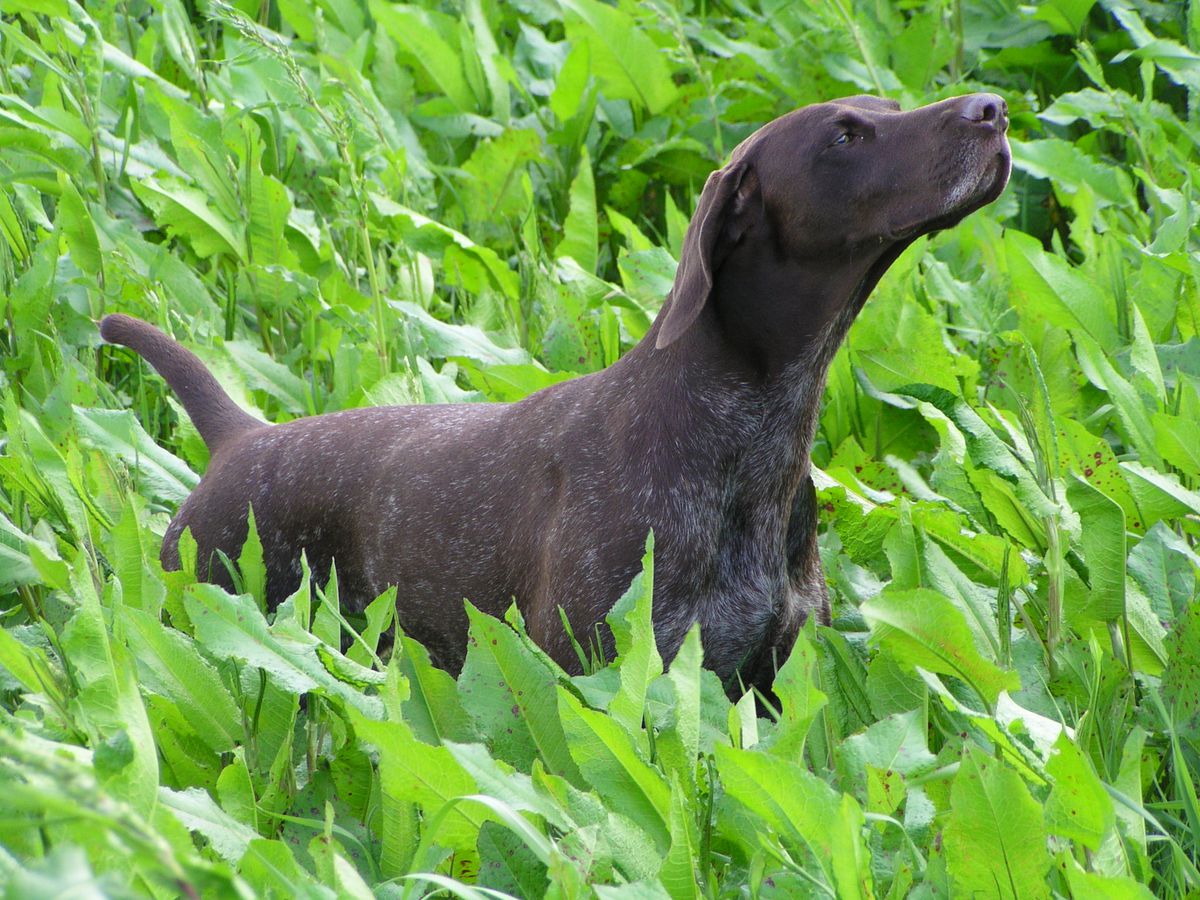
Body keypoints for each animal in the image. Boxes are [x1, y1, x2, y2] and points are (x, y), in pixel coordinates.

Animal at [100, 93, 1012, 691]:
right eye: (847, 134)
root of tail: (240, 437)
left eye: (888, 106)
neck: (748, 435)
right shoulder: (606, 670)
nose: (992, 110)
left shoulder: (767, 685)